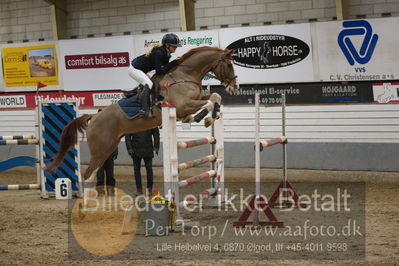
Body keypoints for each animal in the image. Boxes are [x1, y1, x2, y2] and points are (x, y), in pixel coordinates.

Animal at [46, 46, 241, 183]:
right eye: (229, 64)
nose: (235, 87)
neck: (185, 75)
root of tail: (93, 117)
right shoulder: (182, 106)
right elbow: (207, 103)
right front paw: (204, 118)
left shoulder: (195, 99)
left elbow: (214, 97)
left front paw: (209, 117)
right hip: (100, 149)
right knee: (87, 175)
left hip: (108, 147)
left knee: (92, 174)